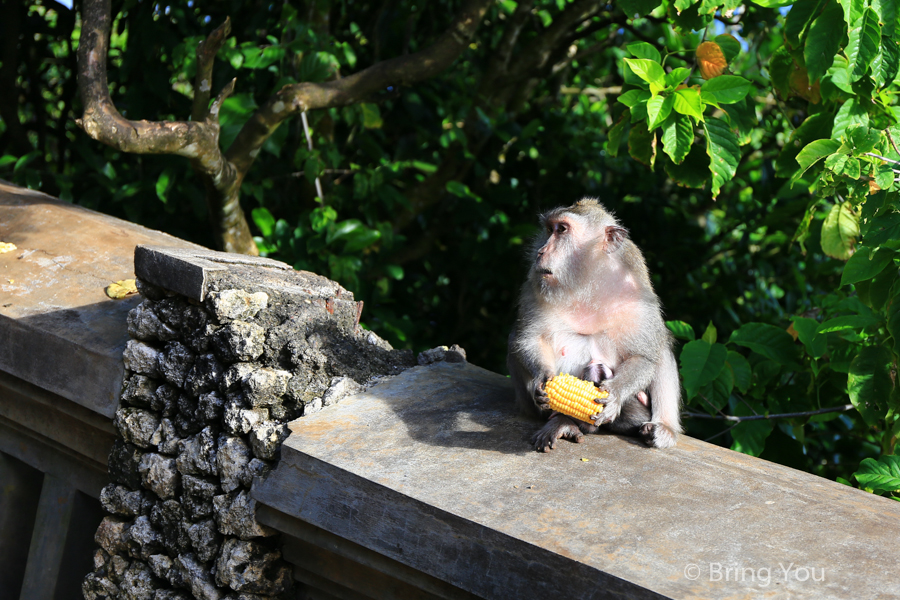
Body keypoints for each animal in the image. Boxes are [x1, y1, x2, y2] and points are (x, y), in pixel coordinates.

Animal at [506, 197, 684, 450]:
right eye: (550, 229)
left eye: (562, 230)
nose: (541, 252)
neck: (588, 281)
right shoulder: (535, 285)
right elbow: (529, 338)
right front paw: (542, 378)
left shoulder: (639, 294)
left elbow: (643, 357)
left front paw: (615, 394)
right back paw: (563, 421)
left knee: (661, 348)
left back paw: (663, 428)